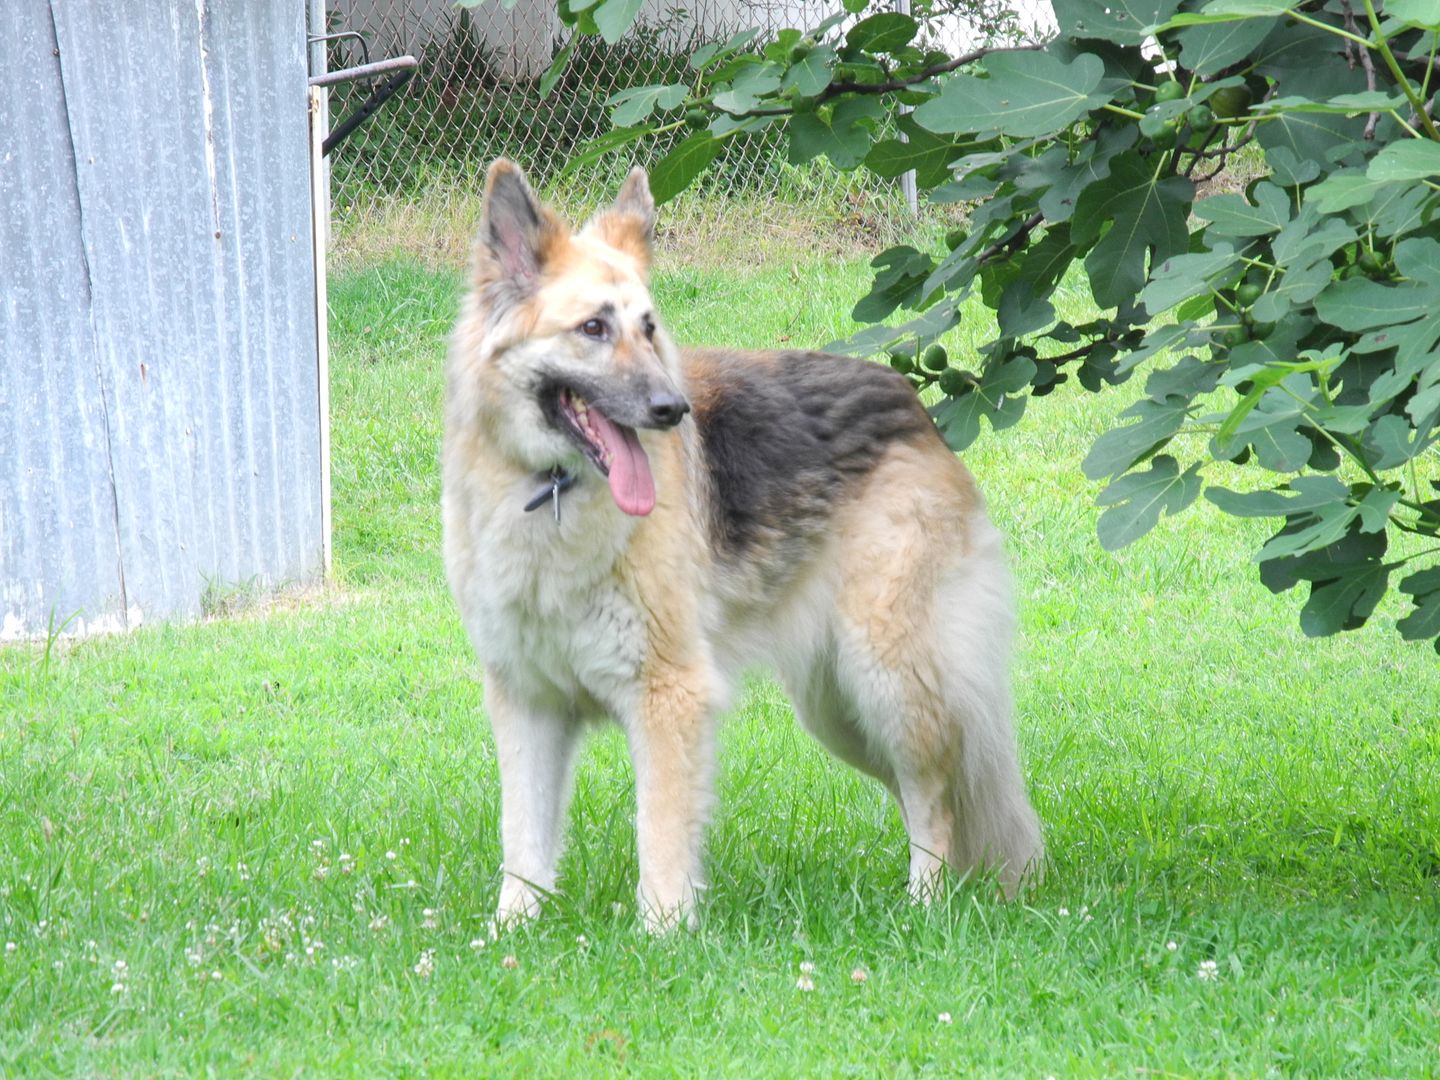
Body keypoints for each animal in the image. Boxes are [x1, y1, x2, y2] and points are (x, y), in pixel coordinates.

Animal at [443, 158, 1042, 933]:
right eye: (593, 328)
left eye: (649, 328)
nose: (672, 410)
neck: (549, 492)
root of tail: (913, 406)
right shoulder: (527, 704)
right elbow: (524, 838)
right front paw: (512, 932)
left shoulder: (668, 698)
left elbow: (660, 834)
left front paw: (663, 937)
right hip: (837, 710)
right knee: (920, 793)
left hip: (887, 681)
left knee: (934, 792)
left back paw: (925, 905)